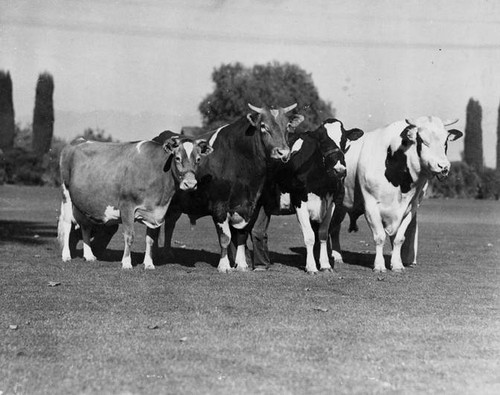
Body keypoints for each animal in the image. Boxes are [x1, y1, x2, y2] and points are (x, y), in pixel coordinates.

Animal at [57, 135, 213, 270]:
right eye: (178, 158)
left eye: (198, 159)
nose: (190, 184)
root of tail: (77, 140)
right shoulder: (127, 206)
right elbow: (129, 236)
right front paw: (126, 262)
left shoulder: (155, 212)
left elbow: (150, 239)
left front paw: (149, 264)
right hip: (66, 194)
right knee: (67, 224)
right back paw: (66, 255)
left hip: (83, 202)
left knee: (85, 225)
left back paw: (89, 255)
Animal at [250, 119, 364, 274]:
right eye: (322, 140)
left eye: (344, 140)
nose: (339, 170)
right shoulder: (299, 201)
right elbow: (309, 236)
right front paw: (311, 267)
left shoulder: (331, 203)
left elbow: (323, 234)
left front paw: (325, 265)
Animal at [330, 115, 462, 272]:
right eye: (422, 140)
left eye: (445, 141)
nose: (443, 167)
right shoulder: (370, 205)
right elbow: (379, 237)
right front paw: (379, 265)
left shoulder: (411, 207)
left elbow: (399, 238)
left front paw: (397, 264)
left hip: (341, 206)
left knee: (335, 228)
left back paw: (337, 256)